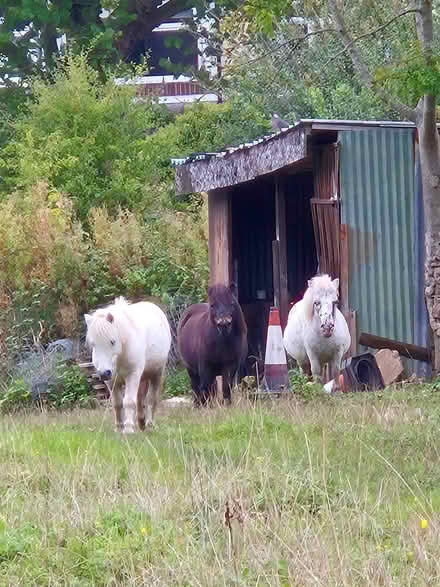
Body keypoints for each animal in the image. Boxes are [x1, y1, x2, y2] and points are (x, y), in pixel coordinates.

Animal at [85, 298, 171, 432]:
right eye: (93, 344)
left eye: (112, 341)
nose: (103, 373)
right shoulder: (112, 381)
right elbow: (117, 403)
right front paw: (119, 428)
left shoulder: (132, 375)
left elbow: (129, 401)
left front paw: (128, 429)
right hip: (142, 377)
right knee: (140, 398)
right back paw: (141, 423)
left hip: (156, 373)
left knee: (151, 399)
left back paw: (150, 424)